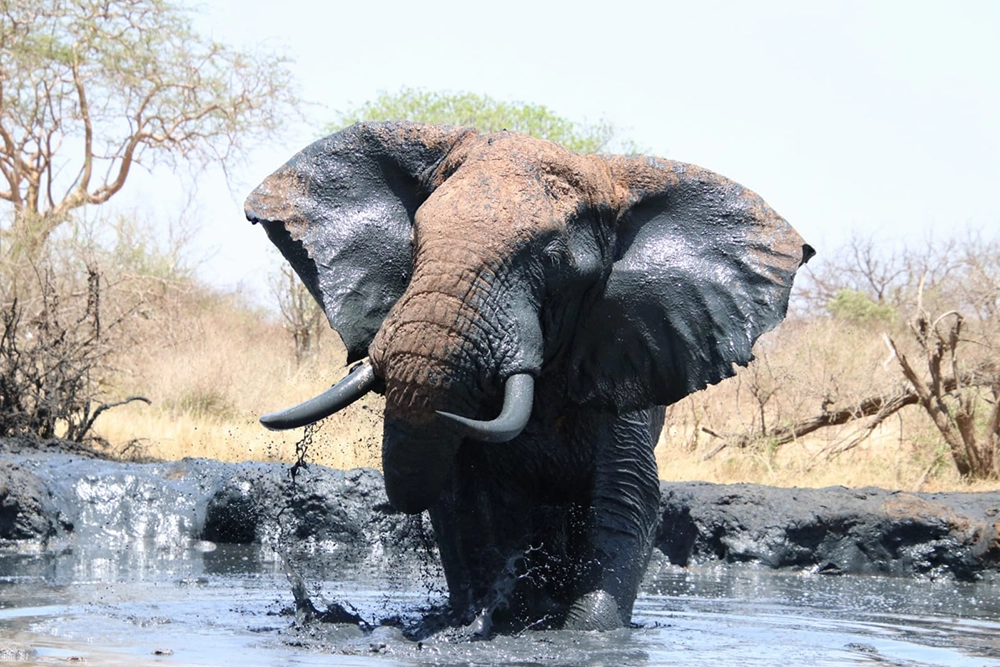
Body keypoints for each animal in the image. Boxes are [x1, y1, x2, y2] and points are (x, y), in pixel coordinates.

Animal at [244, 122, 813, 633]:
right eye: (416, 241)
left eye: (553, 262)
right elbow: (464, 502)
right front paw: (488, 615)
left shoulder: (623, 359)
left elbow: (627, 499)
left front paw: (583, 632)